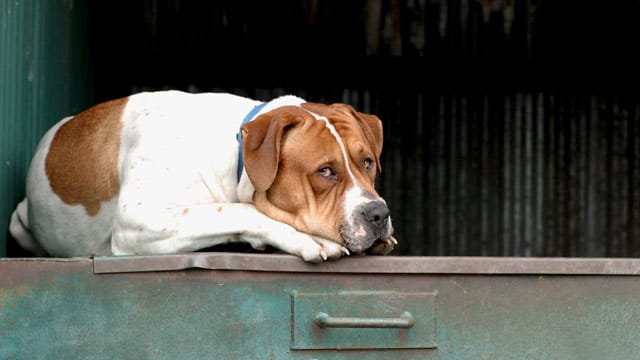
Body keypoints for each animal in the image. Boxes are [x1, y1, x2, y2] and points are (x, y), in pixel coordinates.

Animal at [10, 91, 396, 262]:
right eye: (325, 171)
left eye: (367, 162)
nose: (378, 214)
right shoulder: (139, 220)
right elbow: (237, 210)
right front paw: (307, 239)